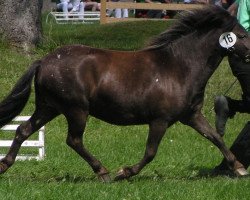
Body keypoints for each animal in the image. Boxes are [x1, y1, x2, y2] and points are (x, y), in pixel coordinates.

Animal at [0, 6, 250, 181]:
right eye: (243, 35)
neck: (179, 66)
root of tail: (43, 61)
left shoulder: (191, 115)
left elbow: (216, 137)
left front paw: (238, 167)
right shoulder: (160, 120)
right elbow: (150, 152)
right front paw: (124, 172)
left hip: (49, 107)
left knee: (23, 130)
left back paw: (4, 164)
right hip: (76, 109)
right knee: (73, 140)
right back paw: (103, 172)